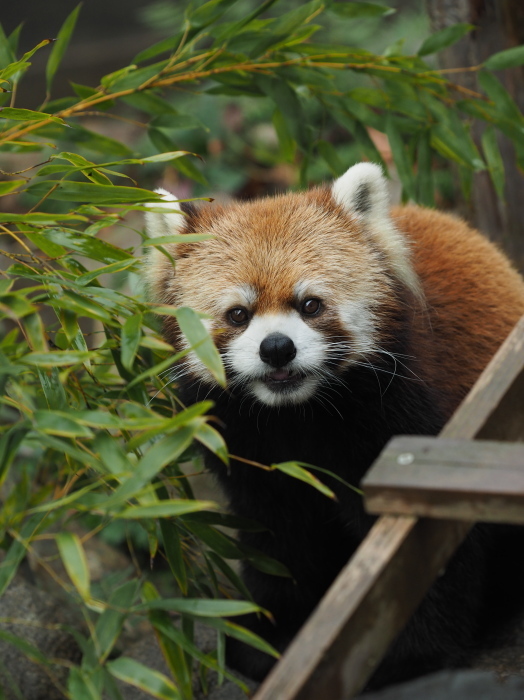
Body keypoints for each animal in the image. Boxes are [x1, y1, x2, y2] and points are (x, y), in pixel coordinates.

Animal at [144, 164, 524, 688]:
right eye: (238, 315)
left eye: (310, 305)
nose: (276, 348)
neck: (298, 414)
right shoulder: (249, 451)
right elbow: (280, 541)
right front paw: (271, 635)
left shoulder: (399, 413)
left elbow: (426, 545)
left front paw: (409, 653)